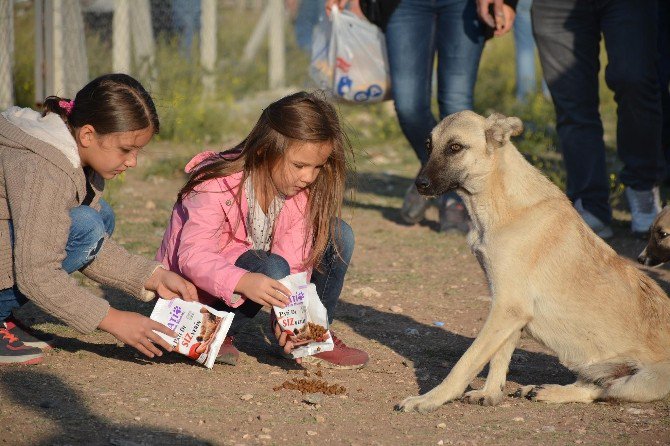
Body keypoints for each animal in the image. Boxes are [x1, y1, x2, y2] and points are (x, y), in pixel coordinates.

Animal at [396, 110, 670, 412]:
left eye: (455, 147)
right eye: (428, 146)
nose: (419, 185)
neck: (502, 203)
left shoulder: (507, 307)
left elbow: (466, 363)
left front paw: (430, 399)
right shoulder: (508, 308)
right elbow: (499, 355)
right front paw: (490, 393)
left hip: (641, 380)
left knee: (601, 392)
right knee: (592, 386)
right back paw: (544, 390)